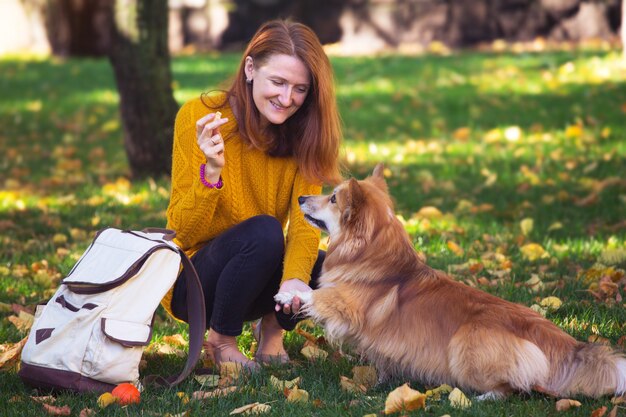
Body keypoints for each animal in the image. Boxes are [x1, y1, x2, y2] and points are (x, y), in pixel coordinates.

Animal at [276, 164, 624, 398]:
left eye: (333, 198)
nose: (302, 197)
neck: (370, 252)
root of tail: (557, 339)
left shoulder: (348, 307)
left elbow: (319, 295)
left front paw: (289, 295)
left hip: (463, 346)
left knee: (513, 388)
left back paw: (480, 398)